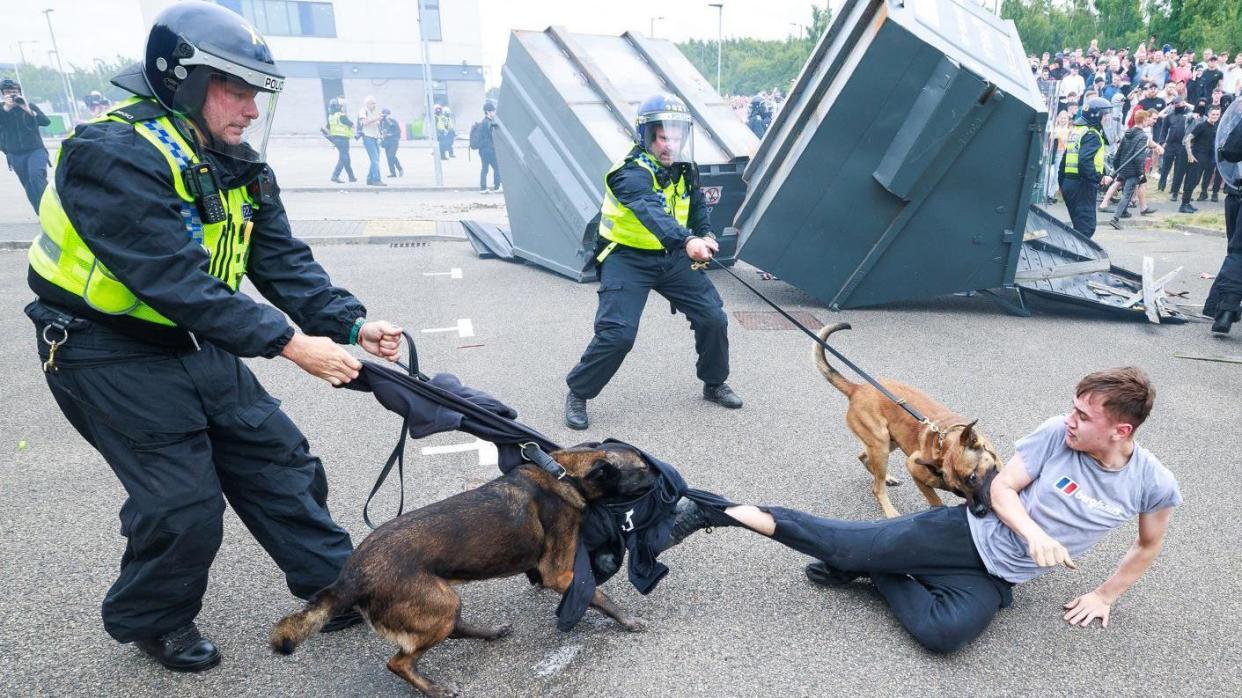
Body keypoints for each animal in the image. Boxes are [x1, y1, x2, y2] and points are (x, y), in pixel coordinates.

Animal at [270, 439, 655, 695]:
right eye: (642, 470)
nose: (658, 473)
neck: (562, 474)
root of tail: (351, 576)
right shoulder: (560, 573)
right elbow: (598, 596)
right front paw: (628, 621)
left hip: (439, 604)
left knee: (450, 629)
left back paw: (489, 633)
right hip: (439, 603)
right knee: (399, 662)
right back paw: (433, 688)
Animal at [814, 322, 998, 516]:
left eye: (972, 477)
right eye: (957, 490)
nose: (978, 511)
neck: (946, 441)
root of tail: (857, 388)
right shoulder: (913, 466)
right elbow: (936, 501)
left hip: (890, 442)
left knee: (864, 458)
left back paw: (886, 478)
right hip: (881, 444)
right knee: (876, 487)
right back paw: (890, 510)